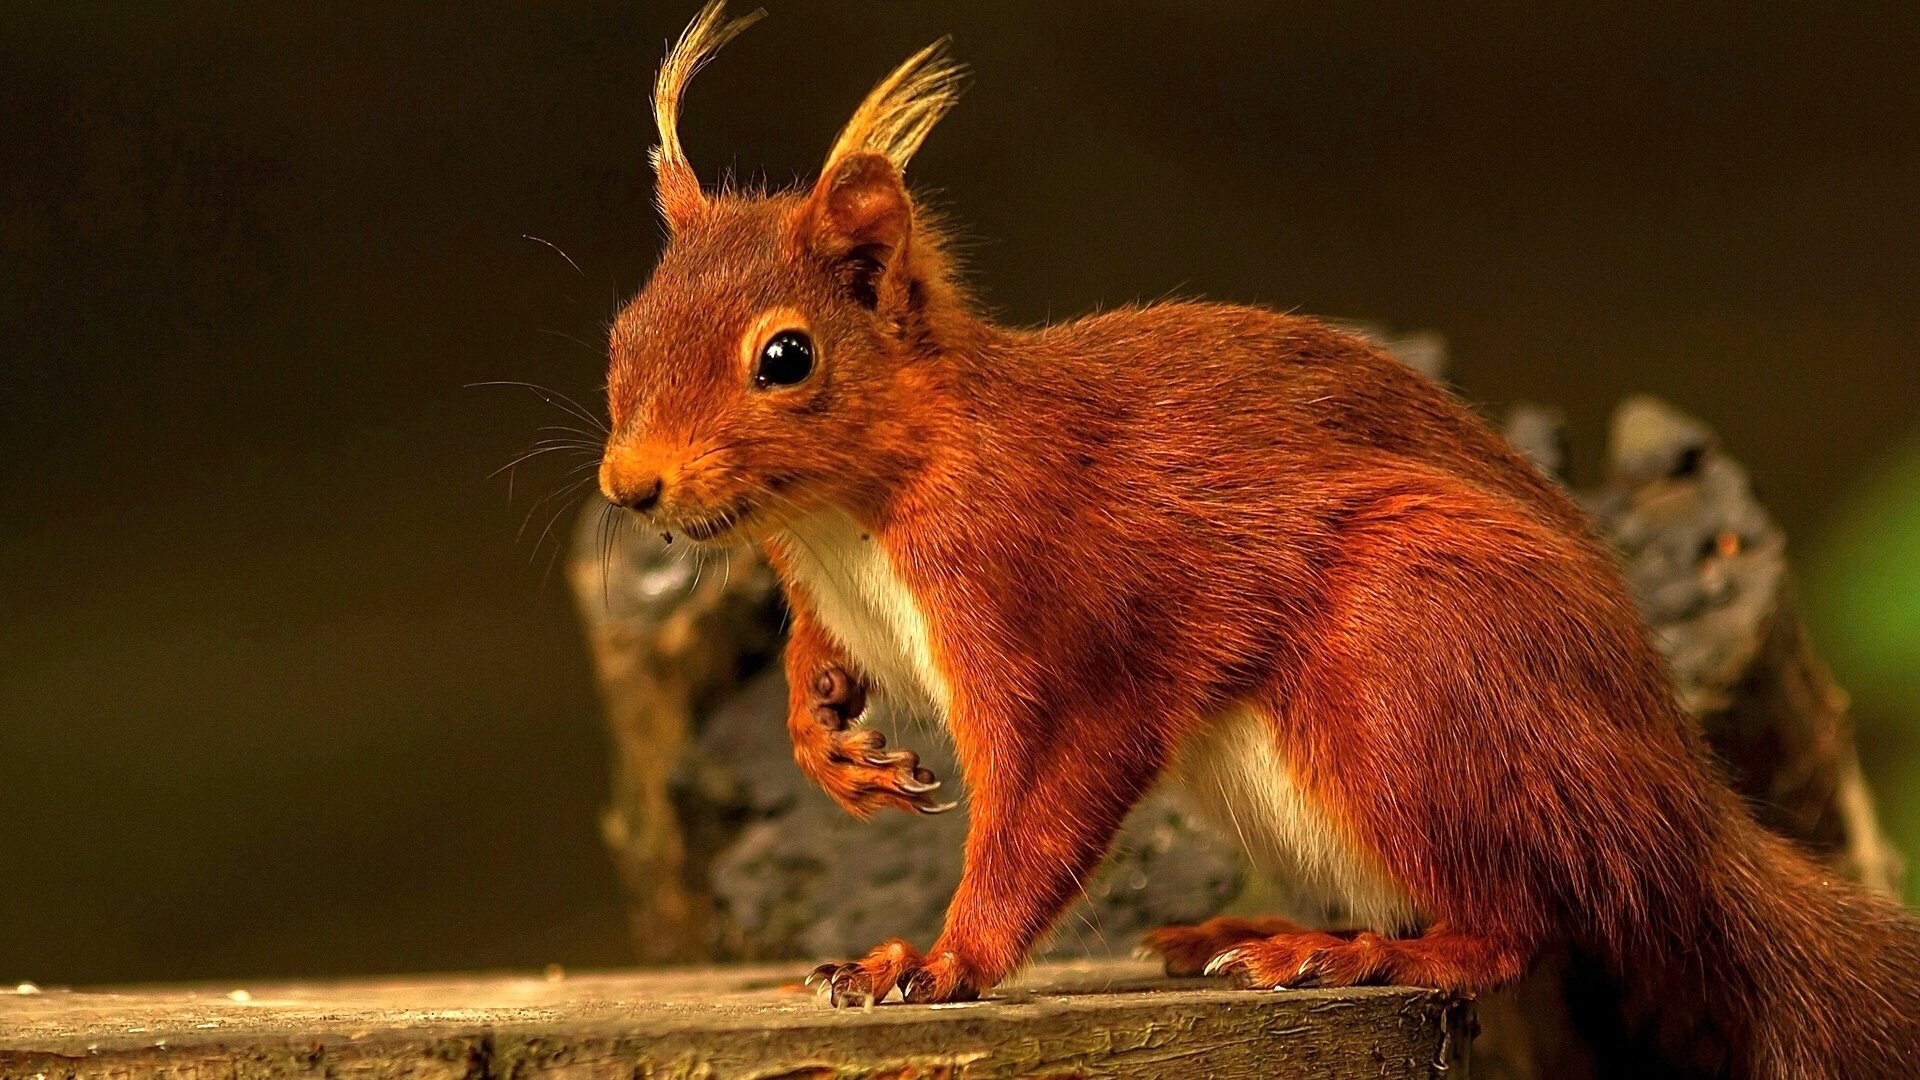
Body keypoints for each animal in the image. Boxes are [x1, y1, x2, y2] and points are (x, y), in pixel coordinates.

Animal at [594, 5, 1920, 1075]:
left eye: (786, 357)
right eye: (624, 329)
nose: (629, 485)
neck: (847, 521)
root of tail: (1680, 811)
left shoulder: (1056, 609)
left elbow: (1043, 809)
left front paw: (934, 962)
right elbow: (817, 661)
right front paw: (826, 740)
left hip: (1418, 657)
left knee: (1518, 924)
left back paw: (1354, 958)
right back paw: (1261, 932)